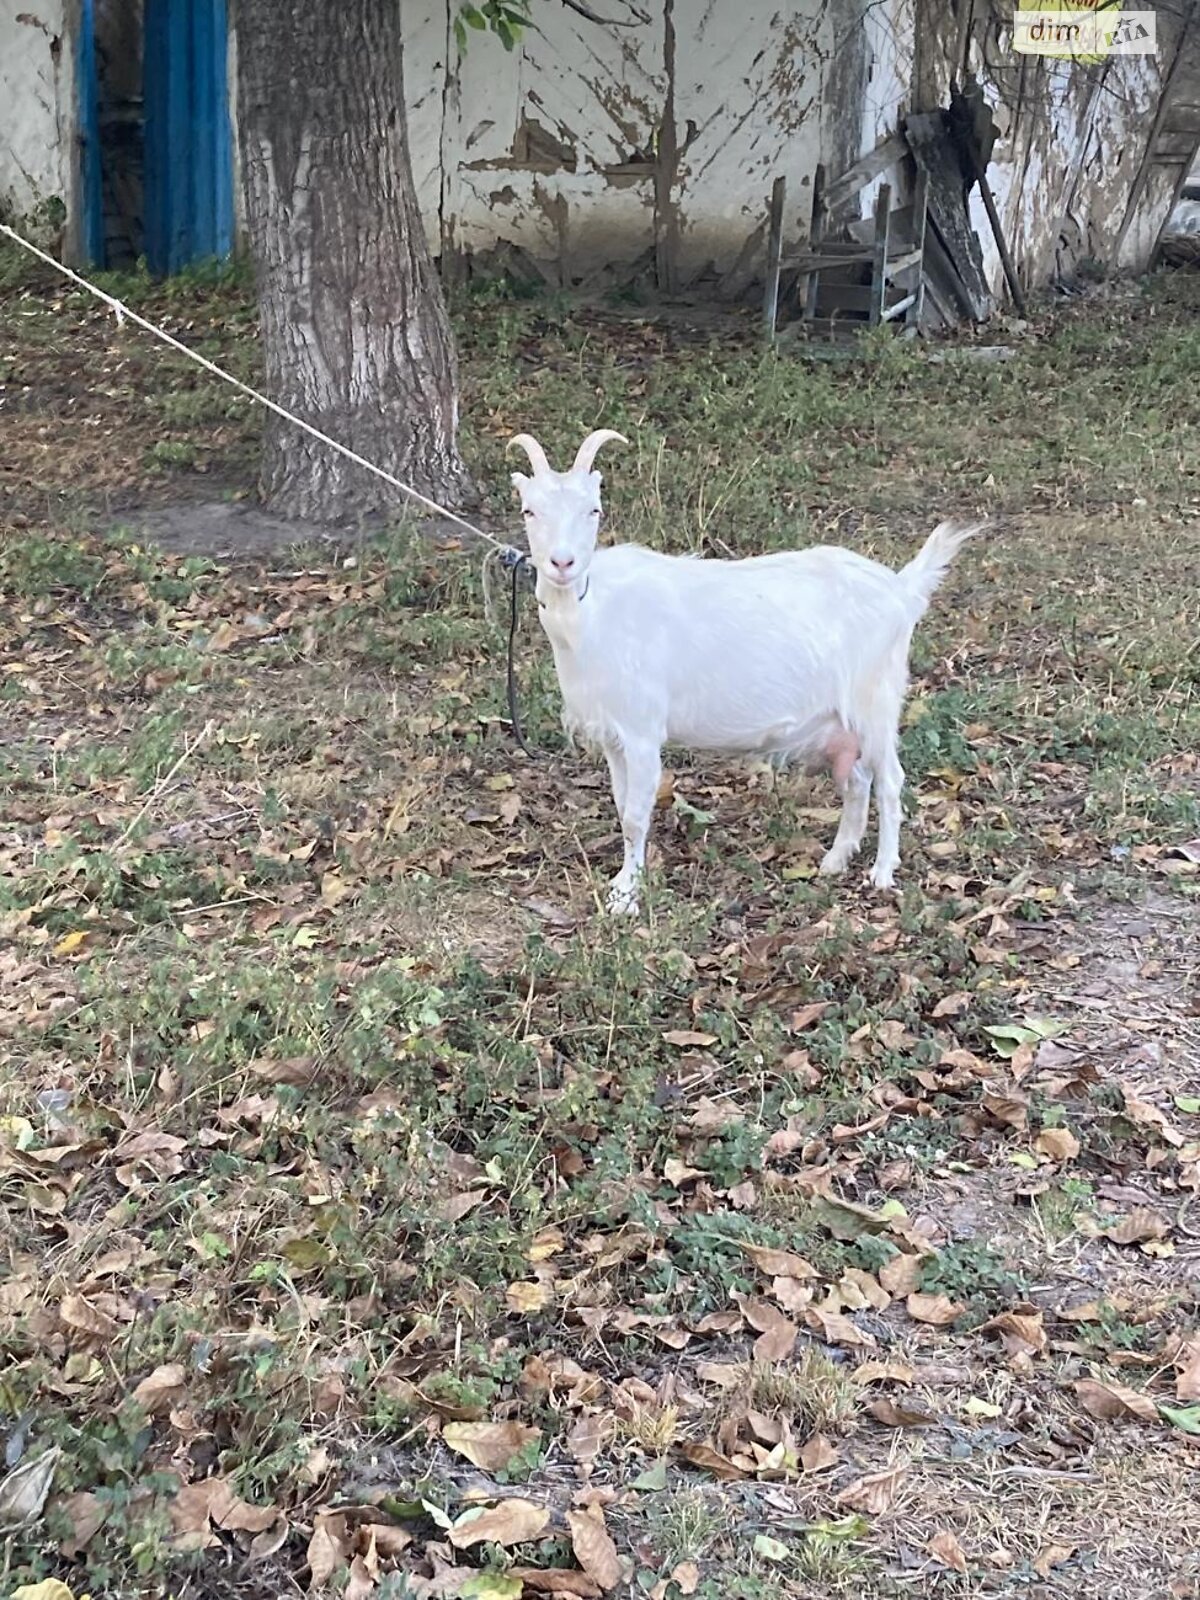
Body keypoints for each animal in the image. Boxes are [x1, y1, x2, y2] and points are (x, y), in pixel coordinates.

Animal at [508, 428, 985, 915]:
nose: (562, 564)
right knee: (858, 779)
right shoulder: (614, 735)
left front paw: (626, 898)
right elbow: (623, 807)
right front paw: (624, 883)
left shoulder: (642, 731)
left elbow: (636, 816)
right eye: (529, 510)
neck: (593, 613)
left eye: (594, 510)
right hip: (841, 719)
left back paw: (883, 872)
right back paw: (835, 859)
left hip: (876, 700)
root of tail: (901, 590)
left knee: (890, 780)